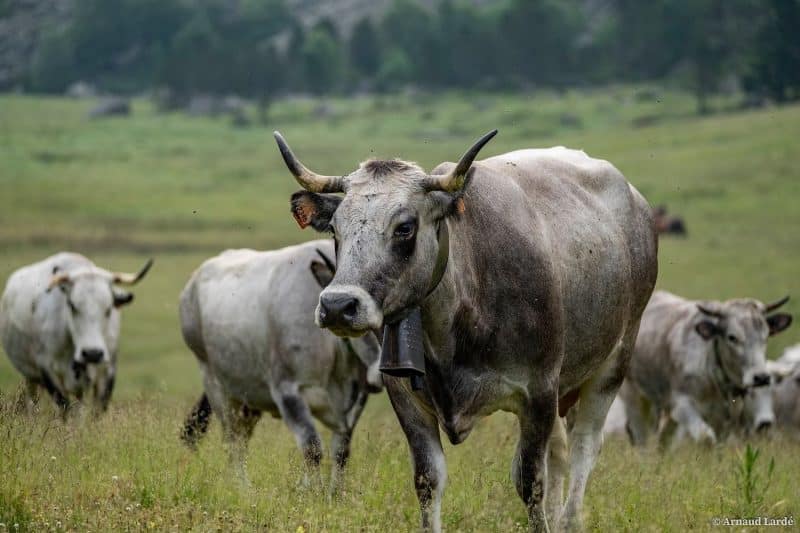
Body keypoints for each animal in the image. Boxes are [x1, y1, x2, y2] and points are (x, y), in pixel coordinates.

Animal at [0, 251, 152, 414]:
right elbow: (65, 408)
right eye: (72, 305)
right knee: (32, 400)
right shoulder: (49, 372)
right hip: (30, 376)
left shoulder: (107, 373)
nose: (92, 353)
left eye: (108, 309)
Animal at [179, 241, 384, 490]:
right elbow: (312, 448)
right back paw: (242, 489)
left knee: (241, 442)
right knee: (232, 443)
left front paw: (335, 493)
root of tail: (191, 284)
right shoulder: (288, 392)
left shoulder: (355, 400)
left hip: (248, 401)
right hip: (215, 386)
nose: (383, 372)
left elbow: (341, 453)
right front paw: (311, 491)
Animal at [272, 130, 660, 532]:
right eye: (335, 229)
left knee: (584, 447)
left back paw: (569, 520)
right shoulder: (405, 396)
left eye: (405, 227)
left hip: (613, 364)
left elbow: (530, 482)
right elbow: (428, 480)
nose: (337, 305)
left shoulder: (538, 392)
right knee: (560, 452)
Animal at [620, 288, 792, 446]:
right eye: (732, 337)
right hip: (633, 396)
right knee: (641, 436)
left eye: (766, 336)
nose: (761, 377)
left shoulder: (725, 419)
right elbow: (706, 438)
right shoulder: (682, 404)